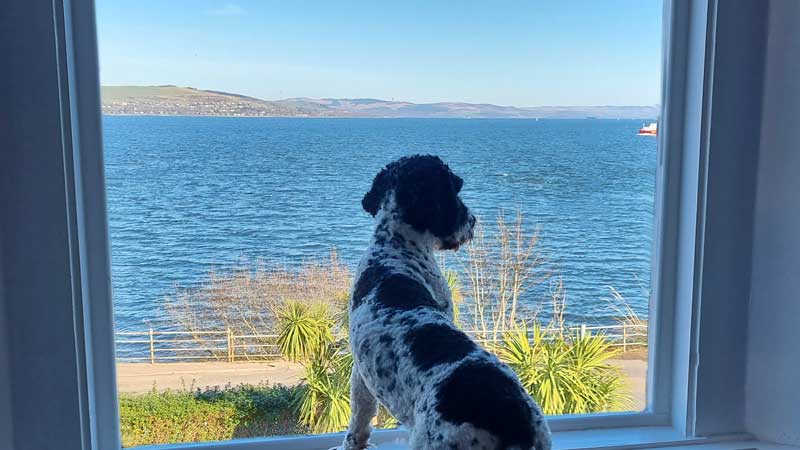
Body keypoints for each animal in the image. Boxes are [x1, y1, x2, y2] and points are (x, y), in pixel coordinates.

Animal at [336, 156, 552, 450]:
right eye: (456, 188)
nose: (473, 220)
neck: (396, 248)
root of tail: (508, 417)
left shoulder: (361, 376)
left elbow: (359, 421)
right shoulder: (361, 376)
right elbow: (360, 418)